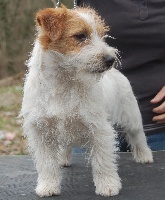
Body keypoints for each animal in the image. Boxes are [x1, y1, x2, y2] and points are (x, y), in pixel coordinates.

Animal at [20, 5, 153, 198]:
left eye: (102, 35)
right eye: (81, 36)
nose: (110, 60)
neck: (64, 83)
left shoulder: (99, 130)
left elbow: (102, 162)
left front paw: (108, 186)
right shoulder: (41, 132)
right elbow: (46, 164)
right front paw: (48, 186)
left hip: (132, 117)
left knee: (138, 135)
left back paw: (144, 155)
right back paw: (63, 159)